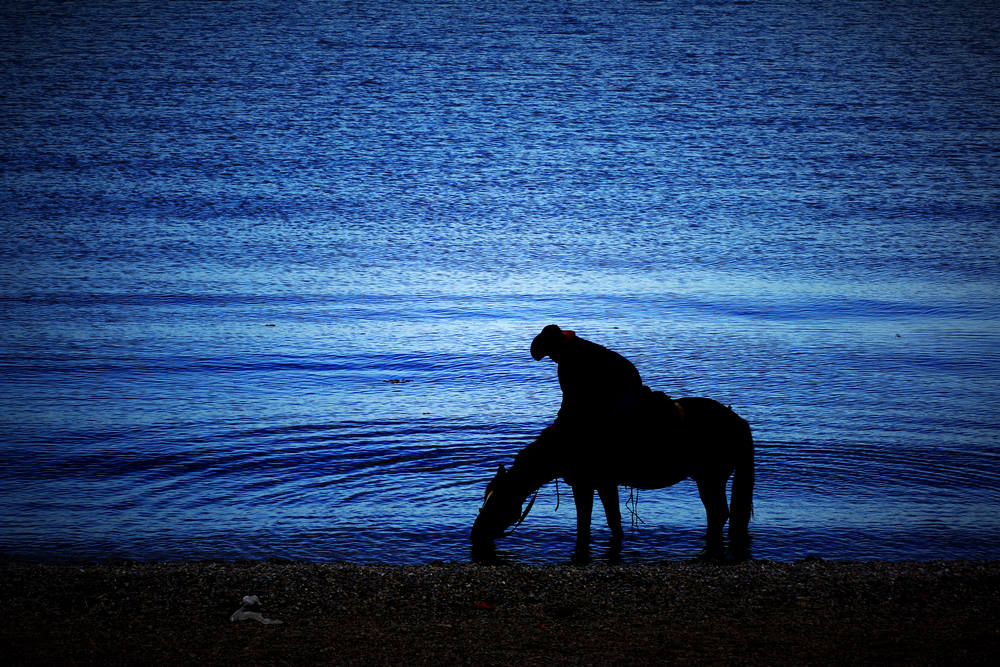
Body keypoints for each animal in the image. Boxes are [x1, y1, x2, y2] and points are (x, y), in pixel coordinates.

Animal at [472, 394, 752, 560]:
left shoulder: (599, 484)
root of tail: (737, 421)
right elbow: (591, 521)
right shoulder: (589, 486)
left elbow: (607, 520)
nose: (475, 533)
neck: (567, 443)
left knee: (718, 514)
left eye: (499, 501)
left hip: (710, 479)